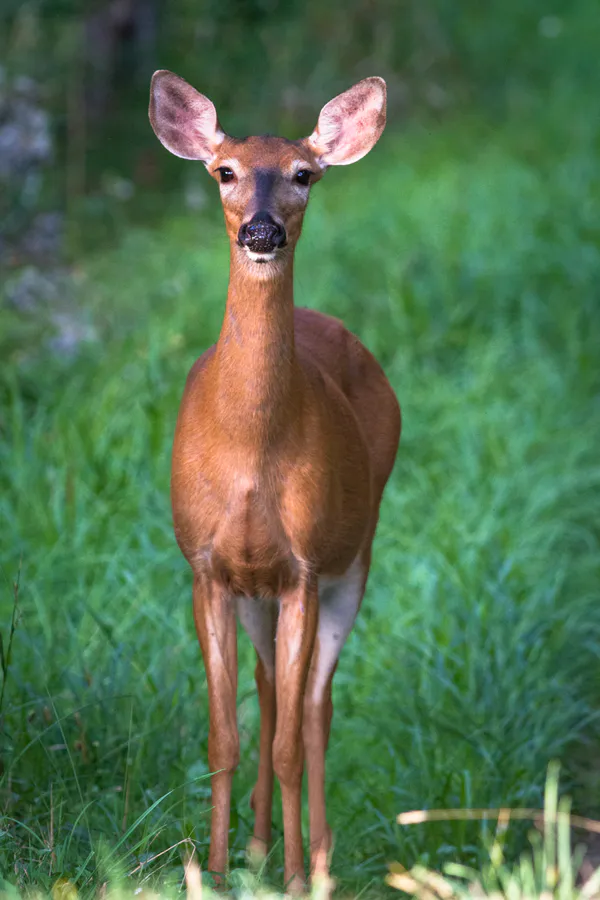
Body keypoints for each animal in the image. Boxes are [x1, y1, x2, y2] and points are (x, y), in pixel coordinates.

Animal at [148, 70, 401, 893]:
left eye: (304, 175)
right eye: (224, 171)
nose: (261, 233)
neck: (251, 455)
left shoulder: (303, 569)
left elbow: (292, 738)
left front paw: (291, 879)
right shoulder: (206, 565)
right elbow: (222, 737)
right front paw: (216, 870)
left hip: (356, 556)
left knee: (315, 705)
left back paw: (315, 859)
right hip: (256, 590)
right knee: (267, 690)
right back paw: (260, 846)